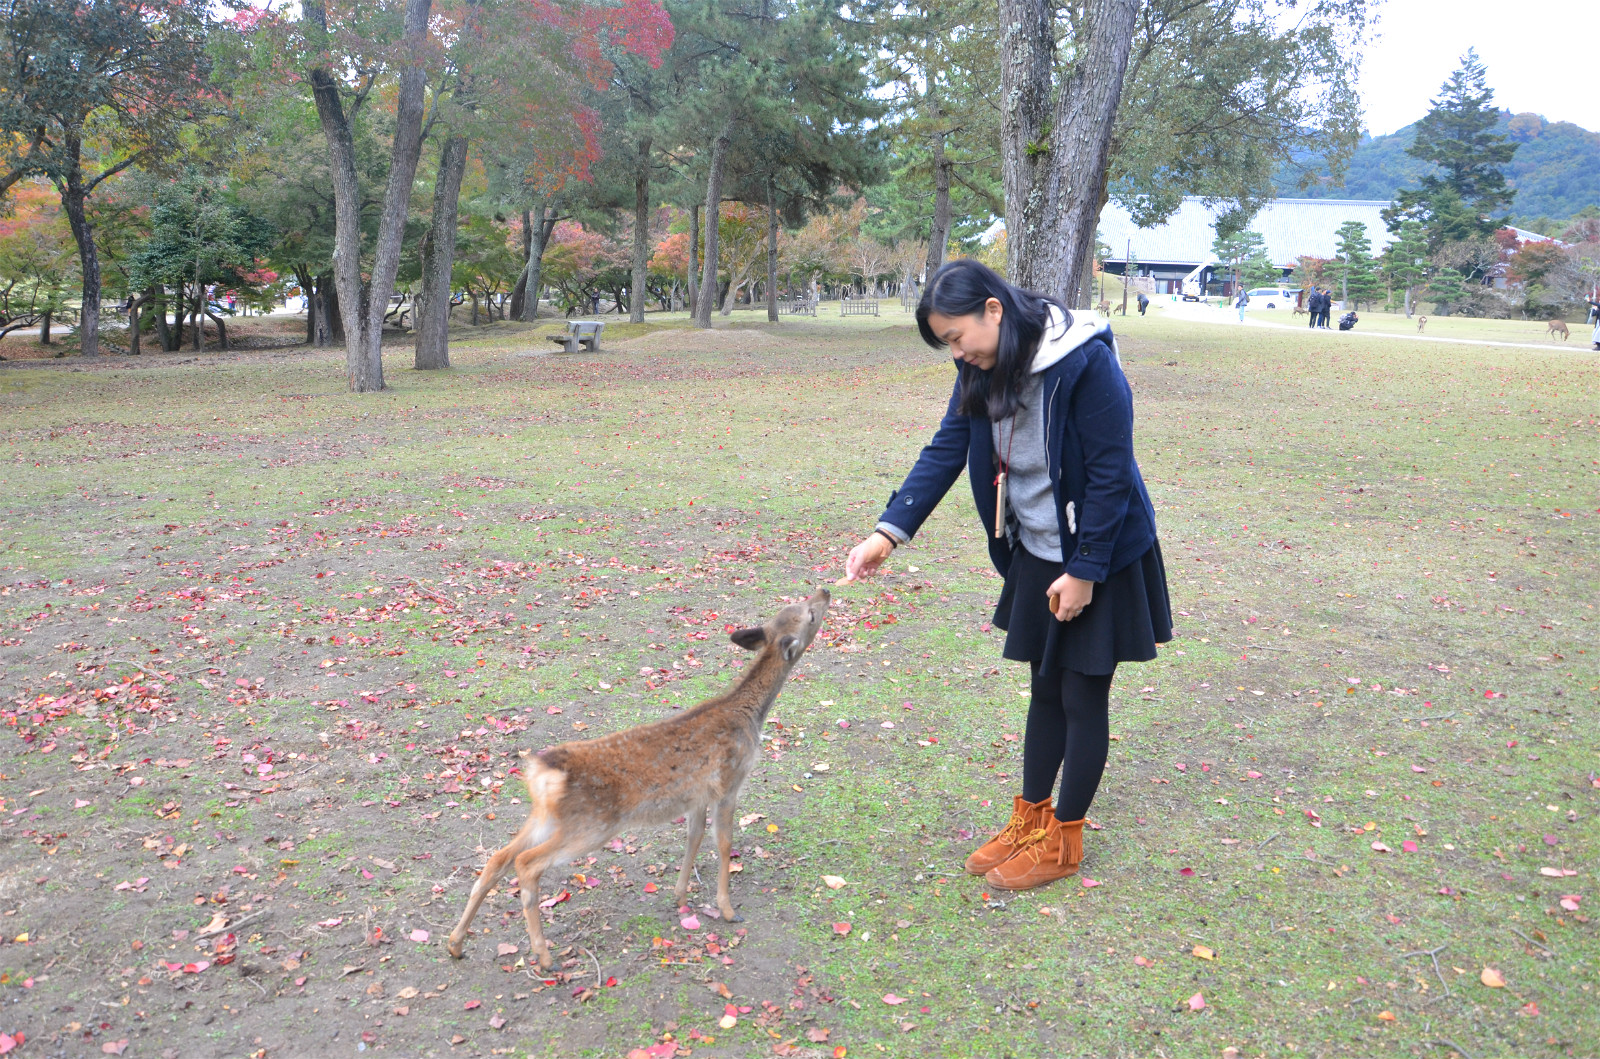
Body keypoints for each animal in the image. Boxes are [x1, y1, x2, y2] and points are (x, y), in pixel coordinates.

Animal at [448, 588, 832, 972]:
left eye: (798, 604)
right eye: (810, 615)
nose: (824, 591)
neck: (750, 716)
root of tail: (544, 773)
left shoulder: (696, 795)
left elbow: (693, 838)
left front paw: (680, 897)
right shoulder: (728, 782)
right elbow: (724, 844)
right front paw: (727, 909)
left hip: (546, 818)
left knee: (498, 857)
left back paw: (456, 943)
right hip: (592, 824)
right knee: (526, 864)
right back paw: (543, 957)